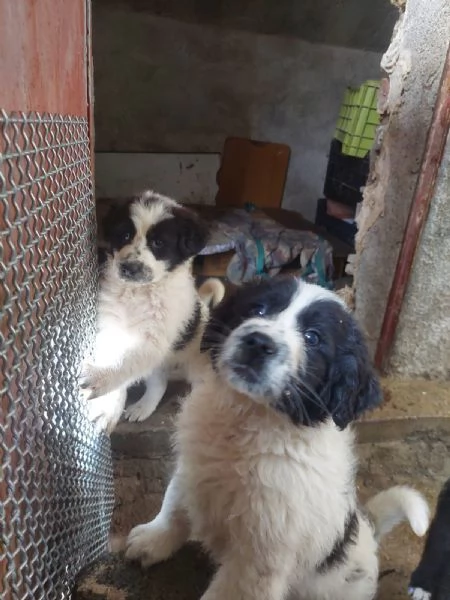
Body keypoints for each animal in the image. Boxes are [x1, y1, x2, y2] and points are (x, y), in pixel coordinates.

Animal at [81, 191, 225, 432]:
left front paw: (100, 377)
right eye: (125, 235)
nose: (129, 268)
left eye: (158, 243)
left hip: (197, 363)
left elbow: (125, 363)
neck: (138, 293)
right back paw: (143, 407)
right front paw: (108, 408)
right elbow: (118, 363)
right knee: (160, 381)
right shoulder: (111, 328)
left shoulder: (154, 339)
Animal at [125, 276, 428, 600]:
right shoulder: (194, 469)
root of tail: (368, 529)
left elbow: (229, 589)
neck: (248, 421)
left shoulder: (259, 553)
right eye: (258, 309)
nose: (258, 342)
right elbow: (174, 504)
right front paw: (153, 540)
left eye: (312, 338)